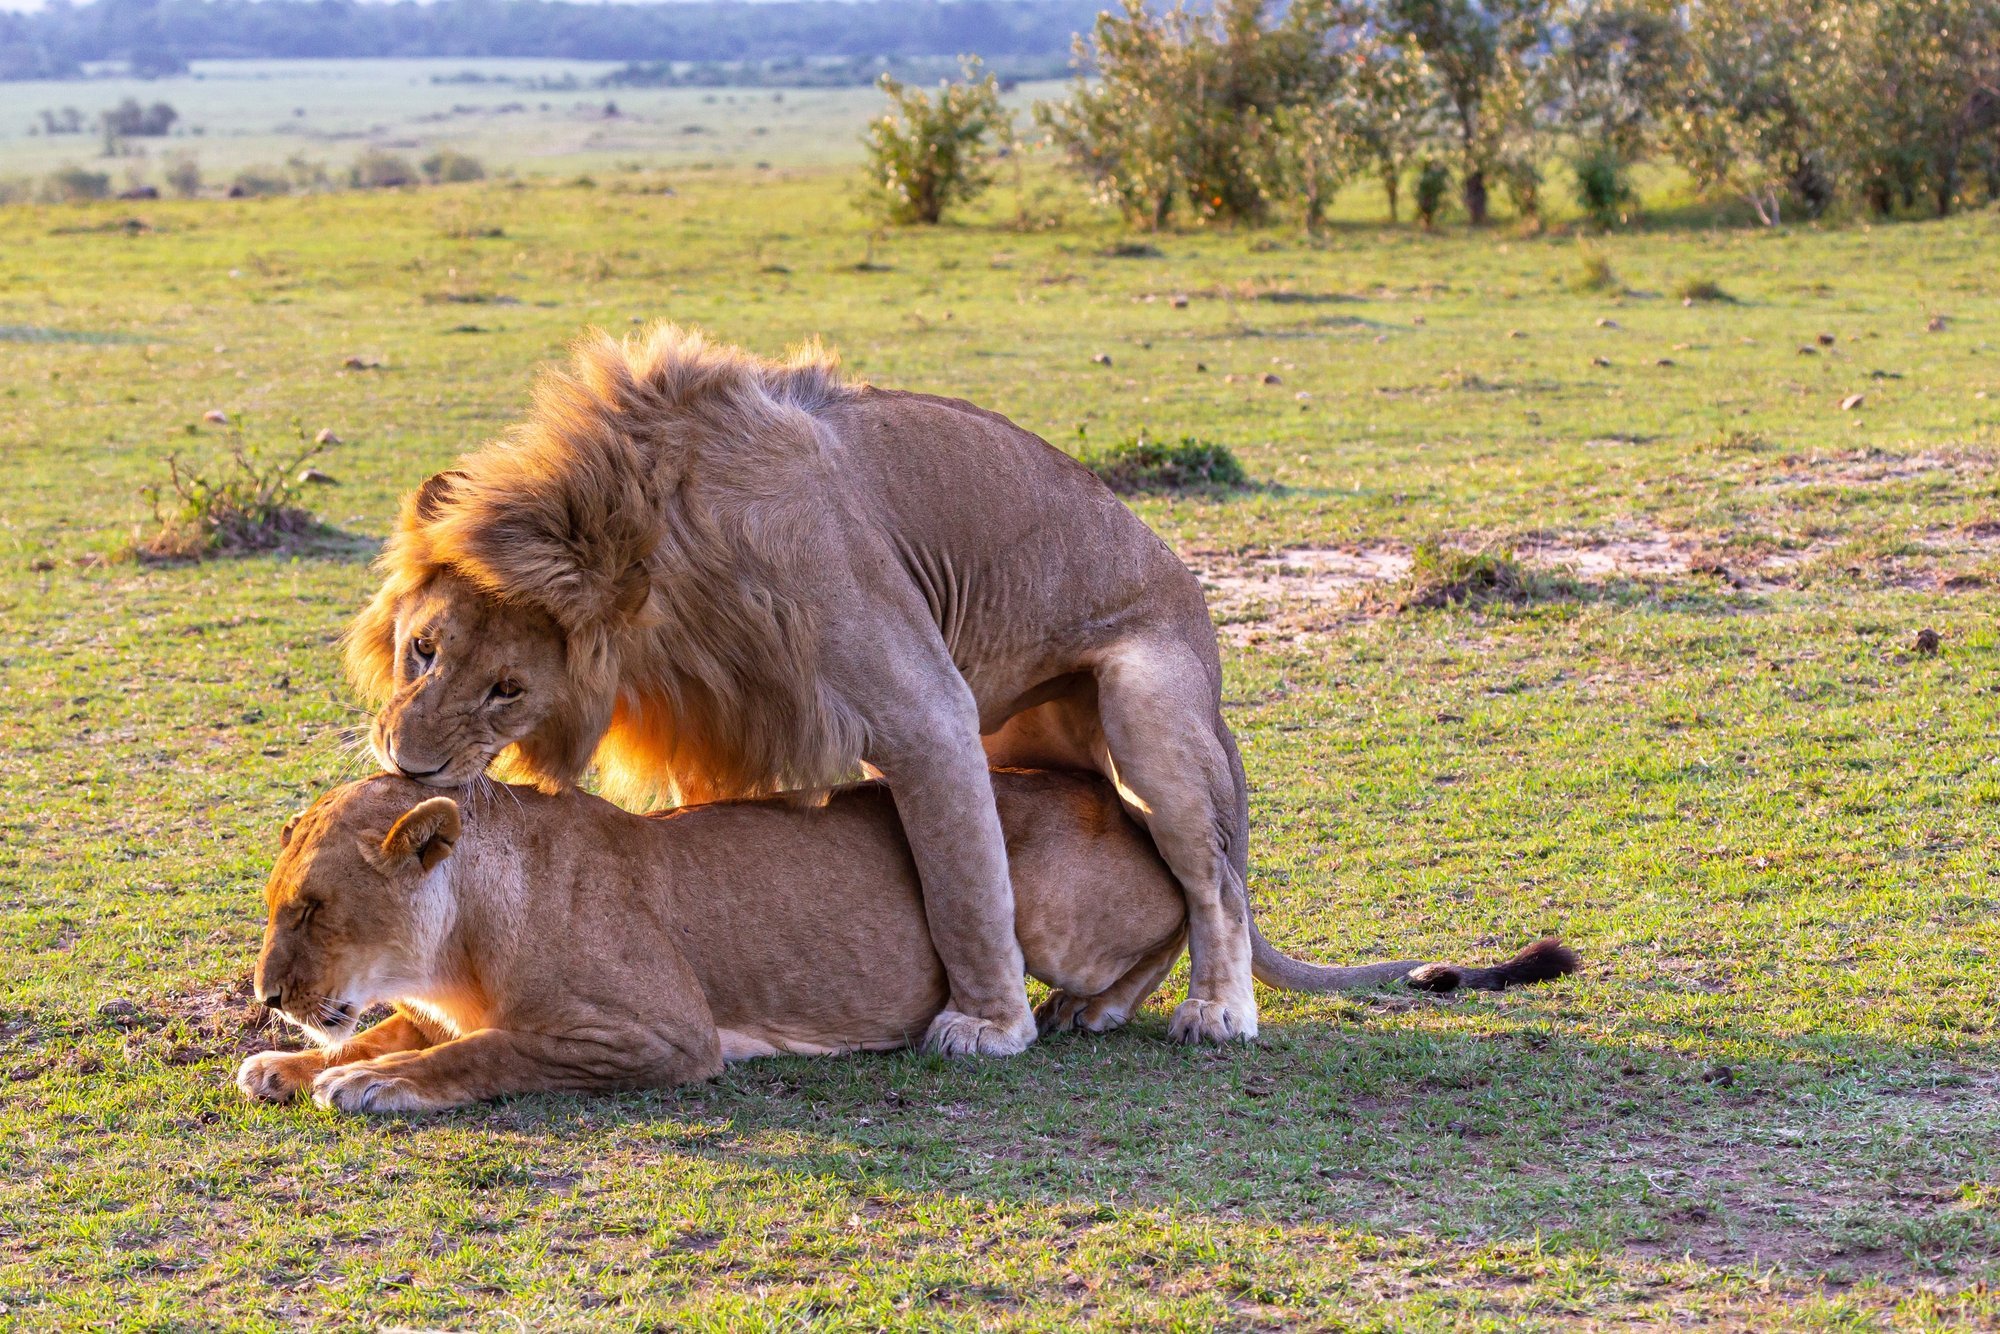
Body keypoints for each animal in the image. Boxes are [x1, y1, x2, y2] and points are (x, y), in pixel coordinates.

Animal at [237, 770, 1578, 1114]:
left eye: (311, 909)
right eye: (276, 905)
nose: (265, 991)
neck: (457, 935)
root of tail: (1110, 793)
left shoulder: (657, 1034)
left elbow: (485, 1051)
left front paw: (369, 1082)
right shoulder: (433, 997)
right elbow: (402, 1027)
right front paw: (292, 1061)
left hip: (1037, 888)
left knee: (1183, 914)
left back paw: (1090, 1010)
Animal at [345, 324, 1266, 1056]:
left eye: (507, 689)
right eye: (422, 650)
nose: (408, 764)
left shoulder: (927, 709)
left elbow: (967, 887)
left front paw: (988, 1026)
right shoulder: (715, 721)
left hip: (1149, 713)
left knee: (1211, 882)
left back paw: (1213, 1012)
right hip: (1022, 737)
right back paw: (1097, 1005)